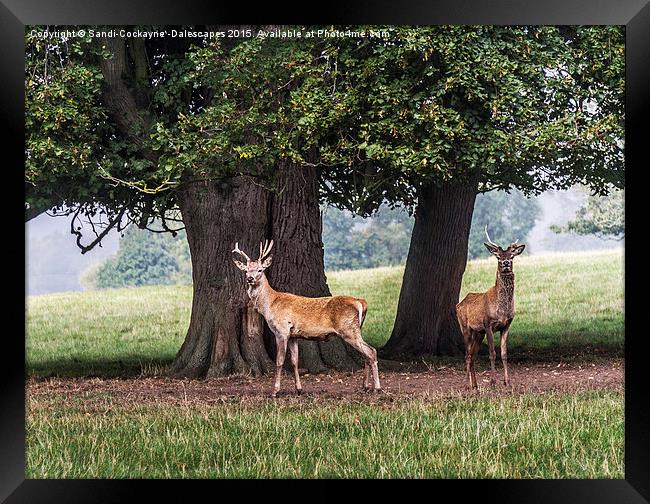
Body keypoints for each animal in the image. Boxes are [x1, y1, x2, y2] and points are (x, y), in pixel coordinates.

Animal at [232, 240, 380, 398]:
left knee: (371, 351)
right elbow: (295, 361)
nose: (250, 278)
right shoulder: (293, 336)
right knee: (366, 354)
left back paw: (376, 387)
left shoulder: (282, 330)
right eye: (246, 270)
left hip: (348, 329)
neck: (270, 305)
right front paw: (299, 389)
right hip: (355, 329)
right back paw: (365, 386)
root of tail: (360, 302)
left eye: (260, 270)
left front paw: (275, 391)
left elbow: (279, 361)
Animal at [454, 225, 524, 390]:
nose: (506, 263)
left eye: (512, 256)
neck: (502, 310)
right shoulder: (488, 324)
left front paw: (507, 382)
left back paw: (475, 385)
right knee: (467, 354)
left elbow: (504, 354)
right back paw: (466, 385)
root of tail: (458, 304)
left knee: (473, 355)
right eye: (498, 257)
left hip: (478, 333)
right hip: (465, 327)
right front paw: (493, 382)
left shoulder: (506, 325)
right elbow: (492, 353)